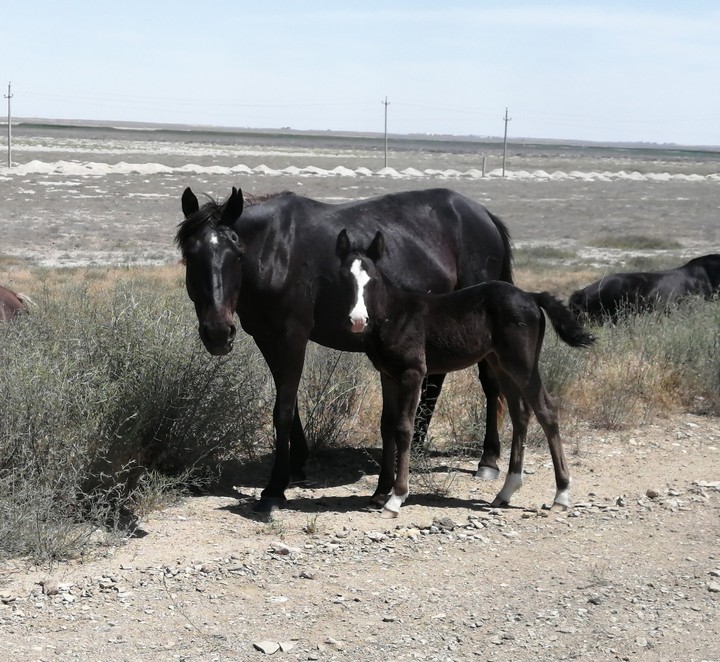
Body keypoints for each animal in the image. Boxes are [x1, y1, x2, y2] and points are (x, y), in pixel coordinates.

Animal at [176, 186, 513, 512]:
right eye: (190, 255)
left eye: (236, 254)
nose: (218, 332)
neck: (276, 251)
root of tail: (482, 214)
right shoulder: (267, 338)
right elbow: (289, 404)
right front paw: (298, 464)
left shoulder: (292, 336)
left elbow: (282, 410)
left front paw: (274, 489)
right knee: (434, 383)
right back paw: (416, 446)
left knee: (489, 384)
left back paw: (488, 460)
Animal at [336, 229, 595, 517]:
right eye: (344, 278)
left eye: (372, 281)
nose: (357, 321)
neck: (395, 314)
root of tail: (530, 296)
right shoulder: (388, 374)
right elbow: (386, 426)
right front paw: (379, 493)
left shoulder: (413, 372)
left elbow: (404, 428)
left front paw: (396, 497)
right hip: (500, 363)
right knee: (520, 414)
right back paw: (506, 491)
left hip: (522, 363)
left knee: (546, 410)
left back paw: (561, 494)